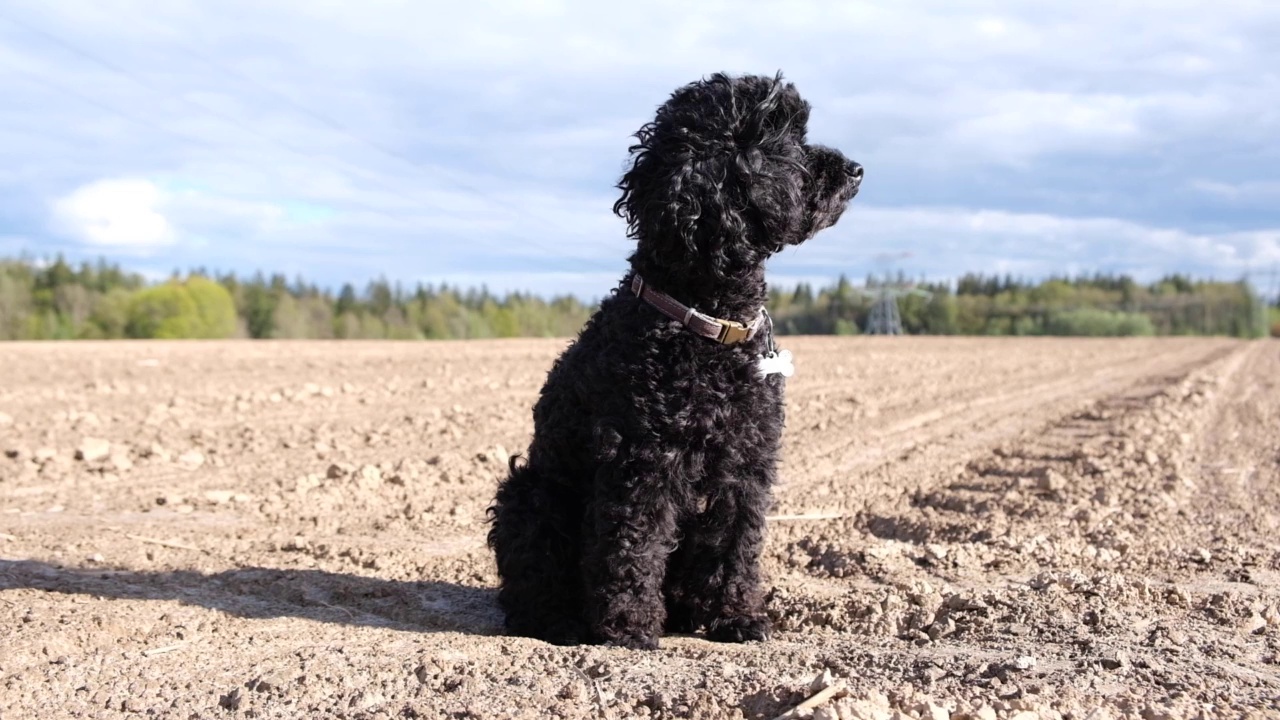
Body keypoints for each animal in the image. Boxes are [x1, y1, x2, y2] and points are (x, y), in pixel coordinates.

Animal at [486, 73, 860, 650]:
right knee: (530, 592)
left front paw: (737, 617)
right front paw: (630, 628)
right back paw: (562, 623)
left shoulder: (745, 464)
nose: (856, 169)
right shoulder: (643, 459)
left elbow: (735, 545)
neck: (708, 325)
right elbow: (633, 543)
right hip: (529, 495)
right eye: (784, 140)